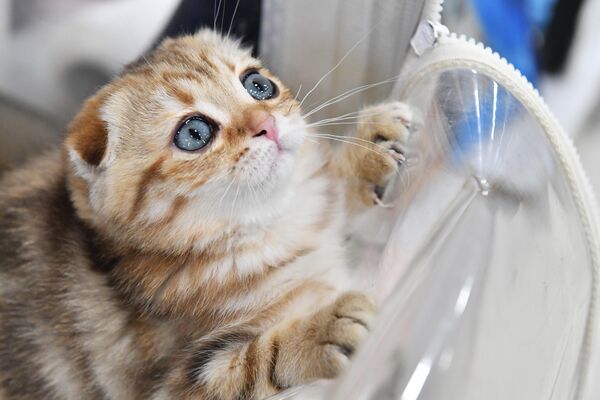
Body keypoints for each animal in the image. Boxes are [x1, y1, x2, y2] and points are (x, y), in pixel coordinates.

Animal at [0, 29, 412, 398]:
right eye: (194, 133)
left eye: (258, 85)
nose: (267, 123)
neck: (264, 227)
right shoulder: (165, 385)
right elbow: (250, 364)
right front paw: (322, 333)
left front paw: (367, 149)